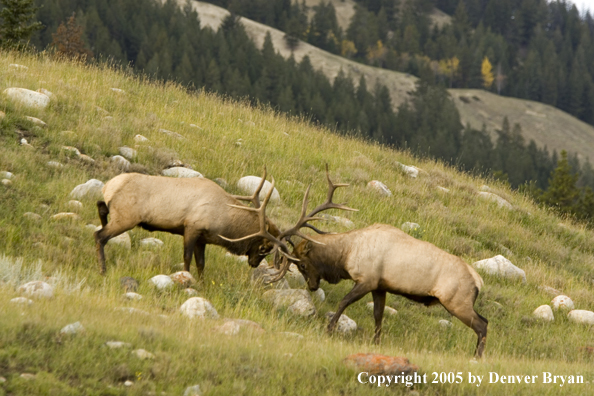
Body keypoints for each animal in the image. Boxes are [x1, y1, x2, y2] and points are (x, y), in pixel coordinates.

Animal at [93, 168, 278, 276]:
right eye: (264, 248)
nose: (254, 263)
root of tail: (108, 186)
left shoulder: (202, 239)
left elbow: (201, 264)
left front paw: (202, 285)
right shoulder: (191, 228)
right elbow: (187, 258)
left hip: (117, 213)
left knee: (101, 206)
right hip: (126, 218)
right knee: (99, 235)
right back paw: (102, 269)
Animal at [224, 168, 488, 358]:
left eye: (302, 264)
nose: (312, 286)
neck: (346, 254)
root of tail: (478, 280)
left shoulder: (367, 279)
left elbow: (343, 302)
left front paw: (329, 329)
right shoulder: (380, 286)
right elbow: (378, 316)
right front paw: (376, 343)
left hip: (456, 301)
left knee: (482, 324)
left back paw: (477, 357)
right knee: (484, 321)